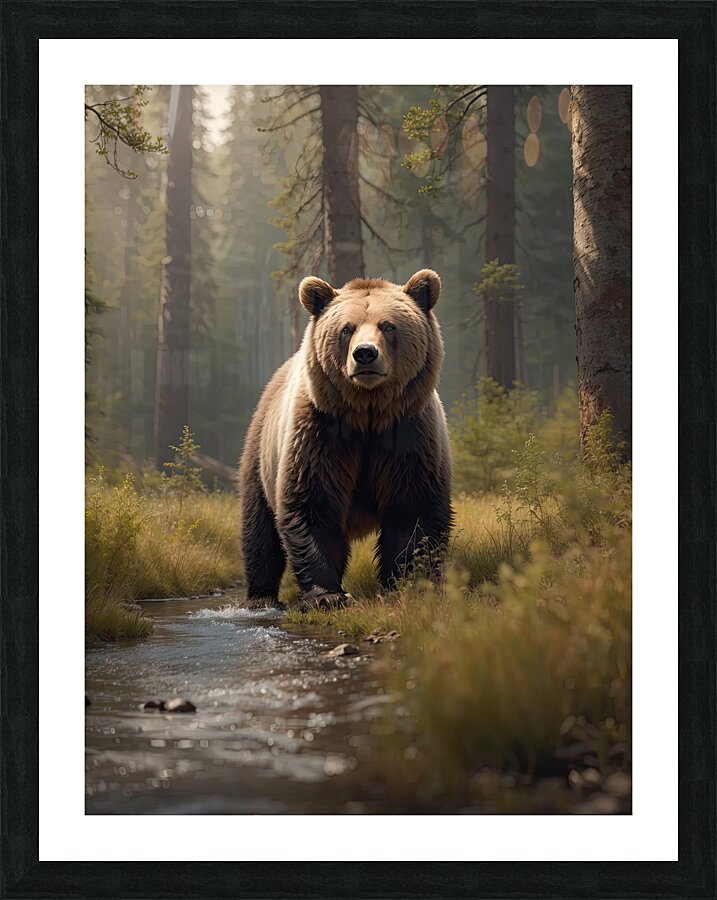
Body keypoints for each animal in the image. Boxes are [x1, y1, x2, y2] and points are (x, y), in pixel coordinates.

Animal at [238, 269, 453, 610]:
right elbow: (313, 504)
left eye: (388, 326)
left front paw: (407, 584)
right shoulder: (321, 433)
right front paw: (327, 595)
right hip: (261, 454)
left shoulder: (409, 433)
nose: (364, 354)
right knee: (259, 531)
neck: (367, 416)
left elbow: (413, 508)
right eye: (346, 329)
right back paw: (261, 596)